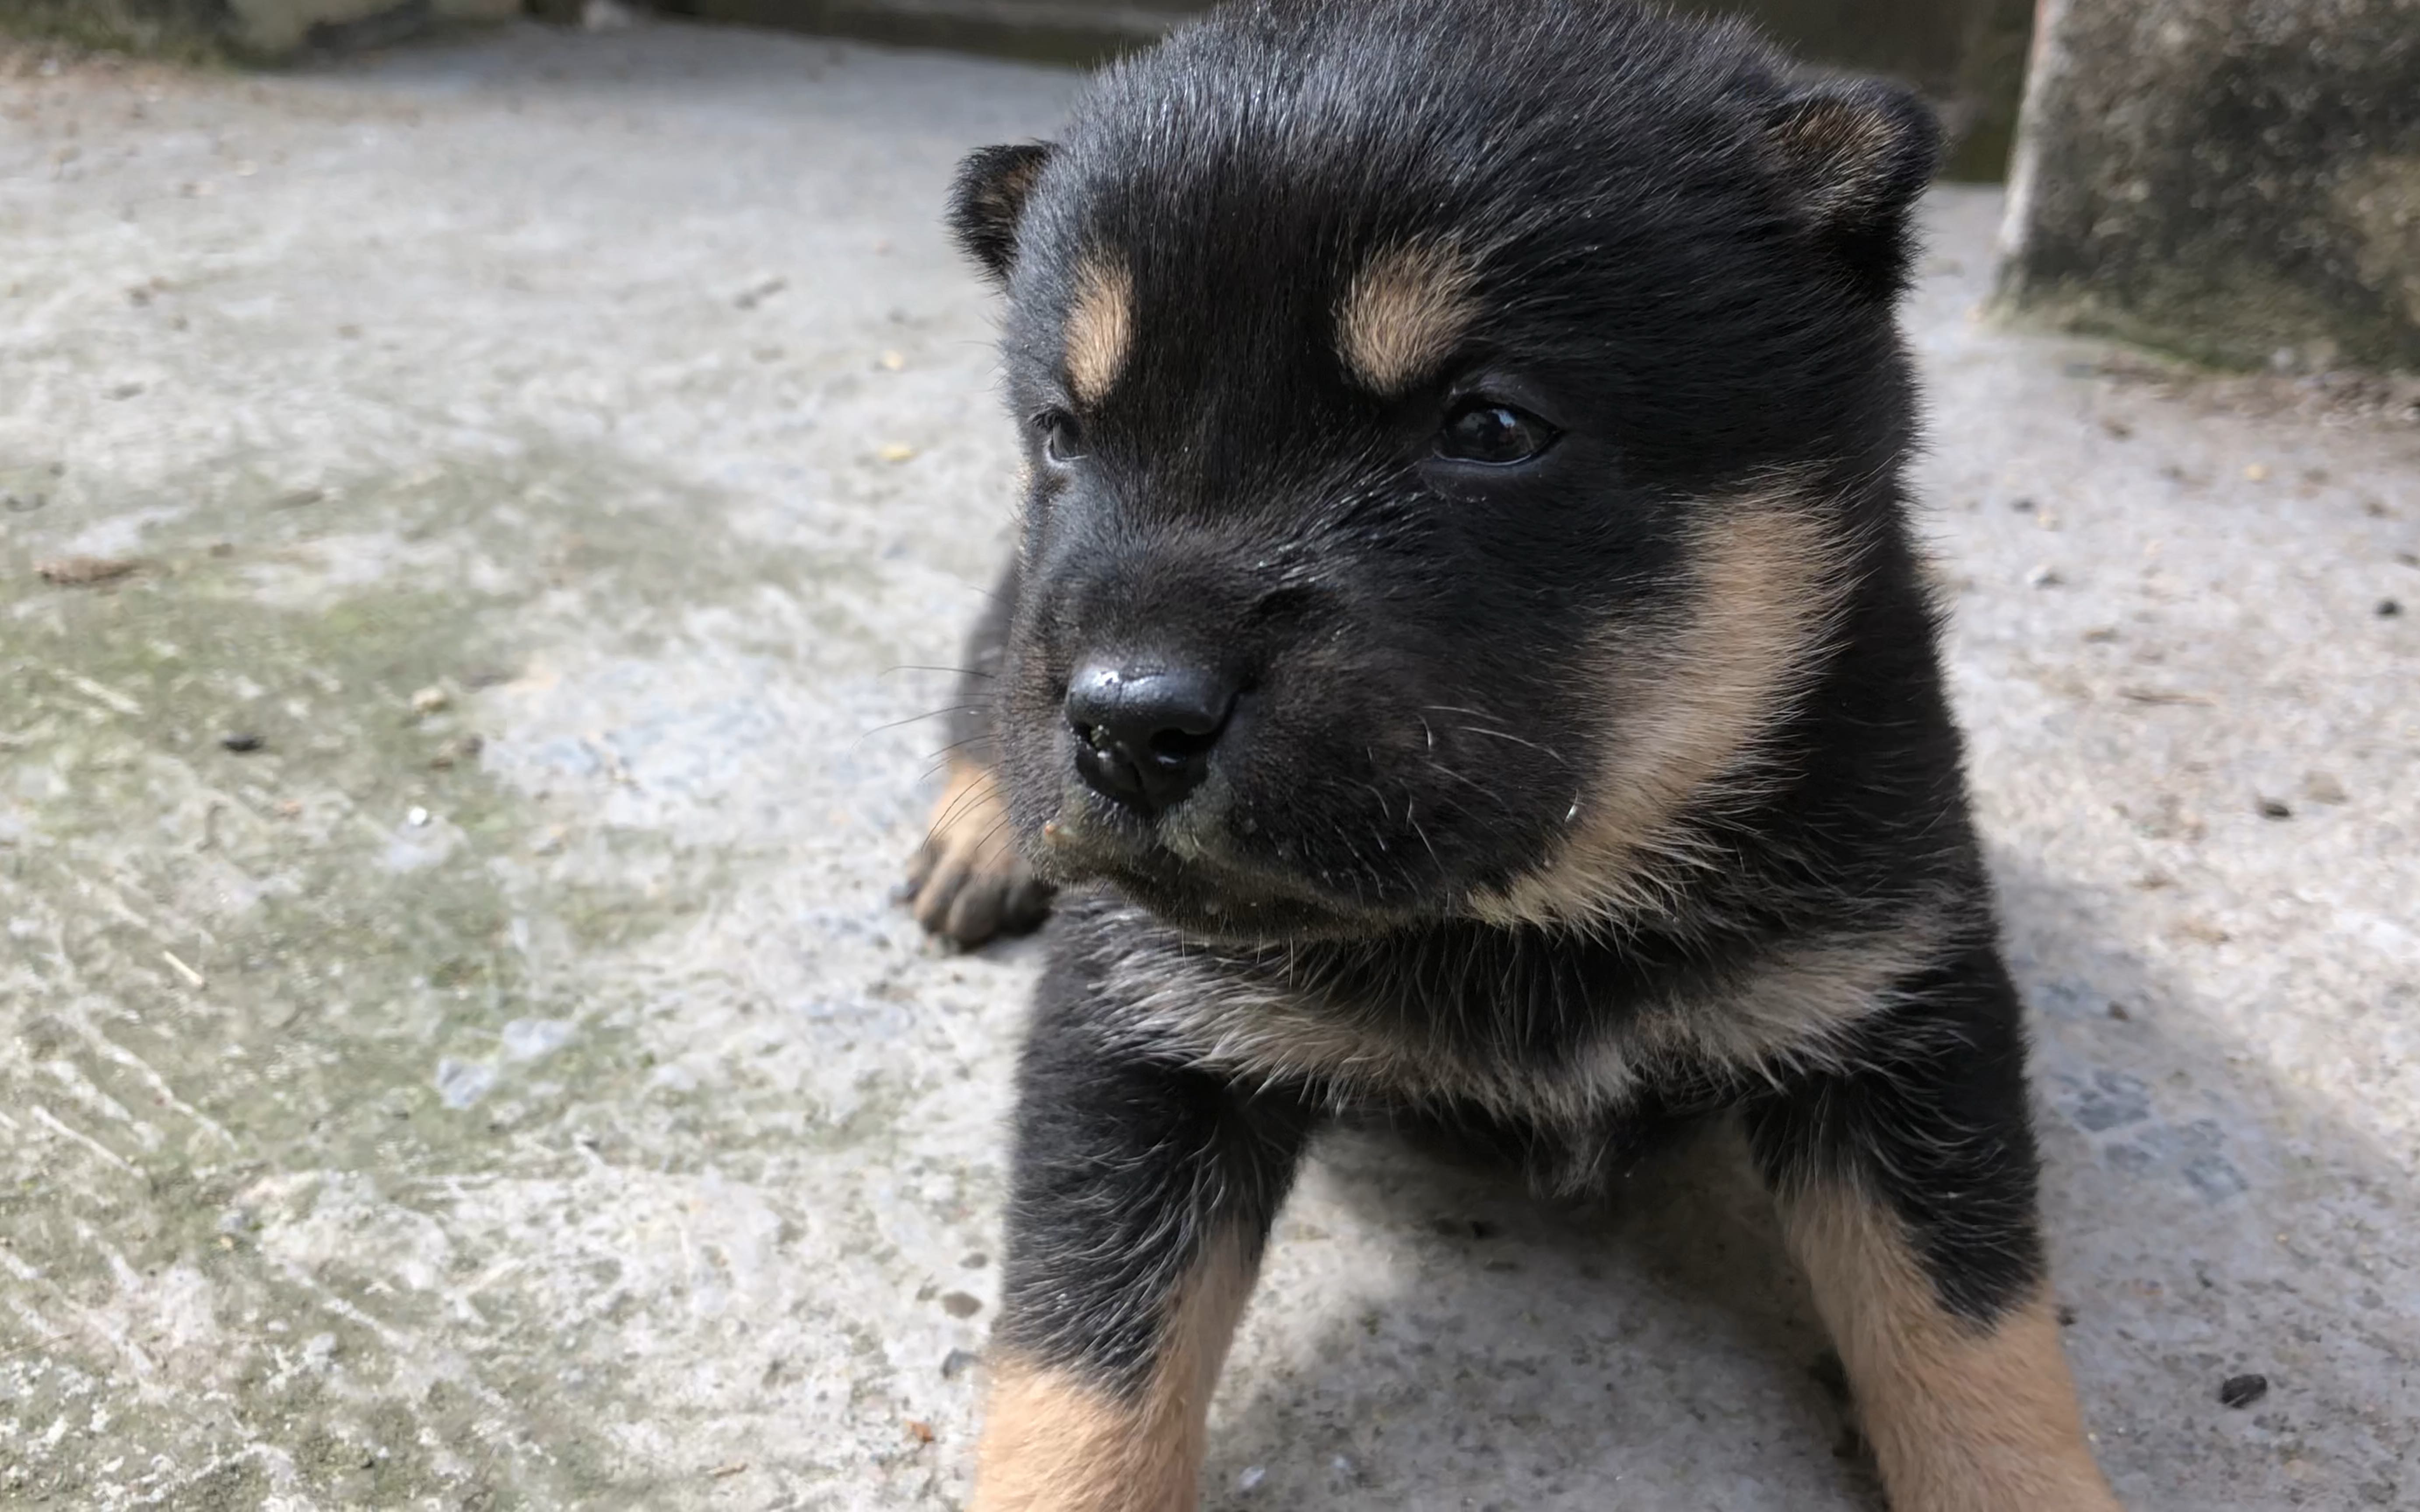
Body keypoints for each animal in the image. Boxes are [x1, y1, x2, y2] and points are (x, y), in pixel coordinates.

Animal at [905, 6, 2120, 1500]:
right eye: (1065, 437)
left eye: (1488, 429)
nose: (1128, 724)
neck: (1525, 918)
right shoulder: (1134, 1034)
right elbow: (1081, 1375)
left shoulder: (1895, 1010)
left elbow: (1972, 1338)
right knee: (990, 655)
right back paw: (978, 831)